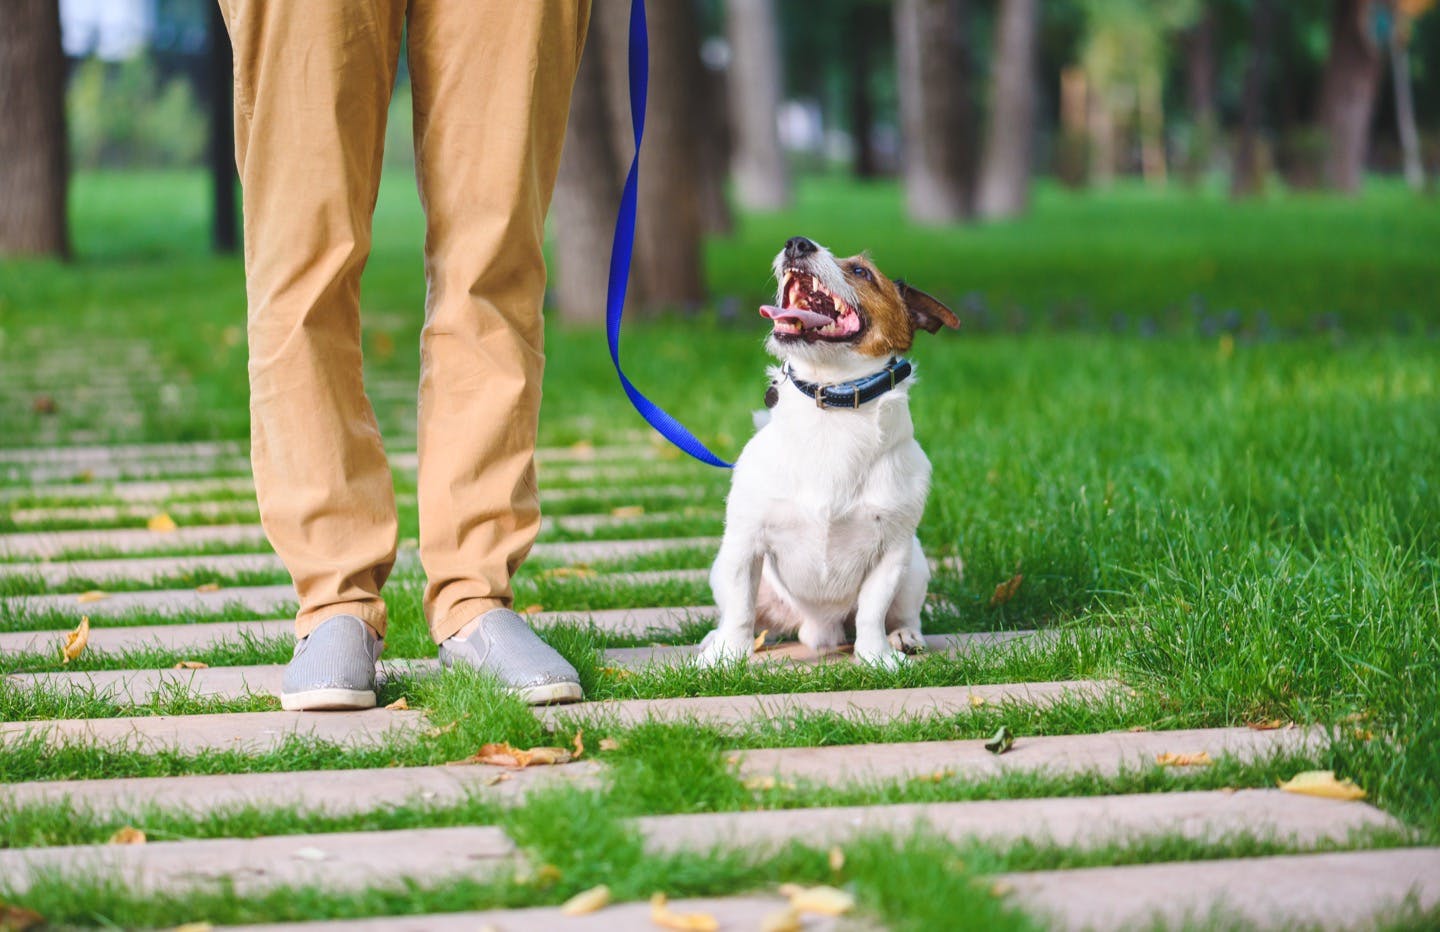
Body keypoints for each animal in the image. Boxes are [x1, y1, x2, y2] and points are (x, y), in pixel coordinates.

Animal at [696, 233, 956, 671]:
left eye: (861, 271)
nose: (797, 243)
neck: (832, 404)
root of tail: (816, 629)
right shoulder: (745, 544)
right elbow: (739, 611)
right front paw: (726, 657)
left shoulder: (892, 552)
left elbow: (872, 610)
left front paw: (876, 657)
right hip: (727, 568)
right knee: (747, 615)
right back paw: (718, 640)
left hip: (915, 566)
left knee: (903, 613)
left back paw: (904, 637)